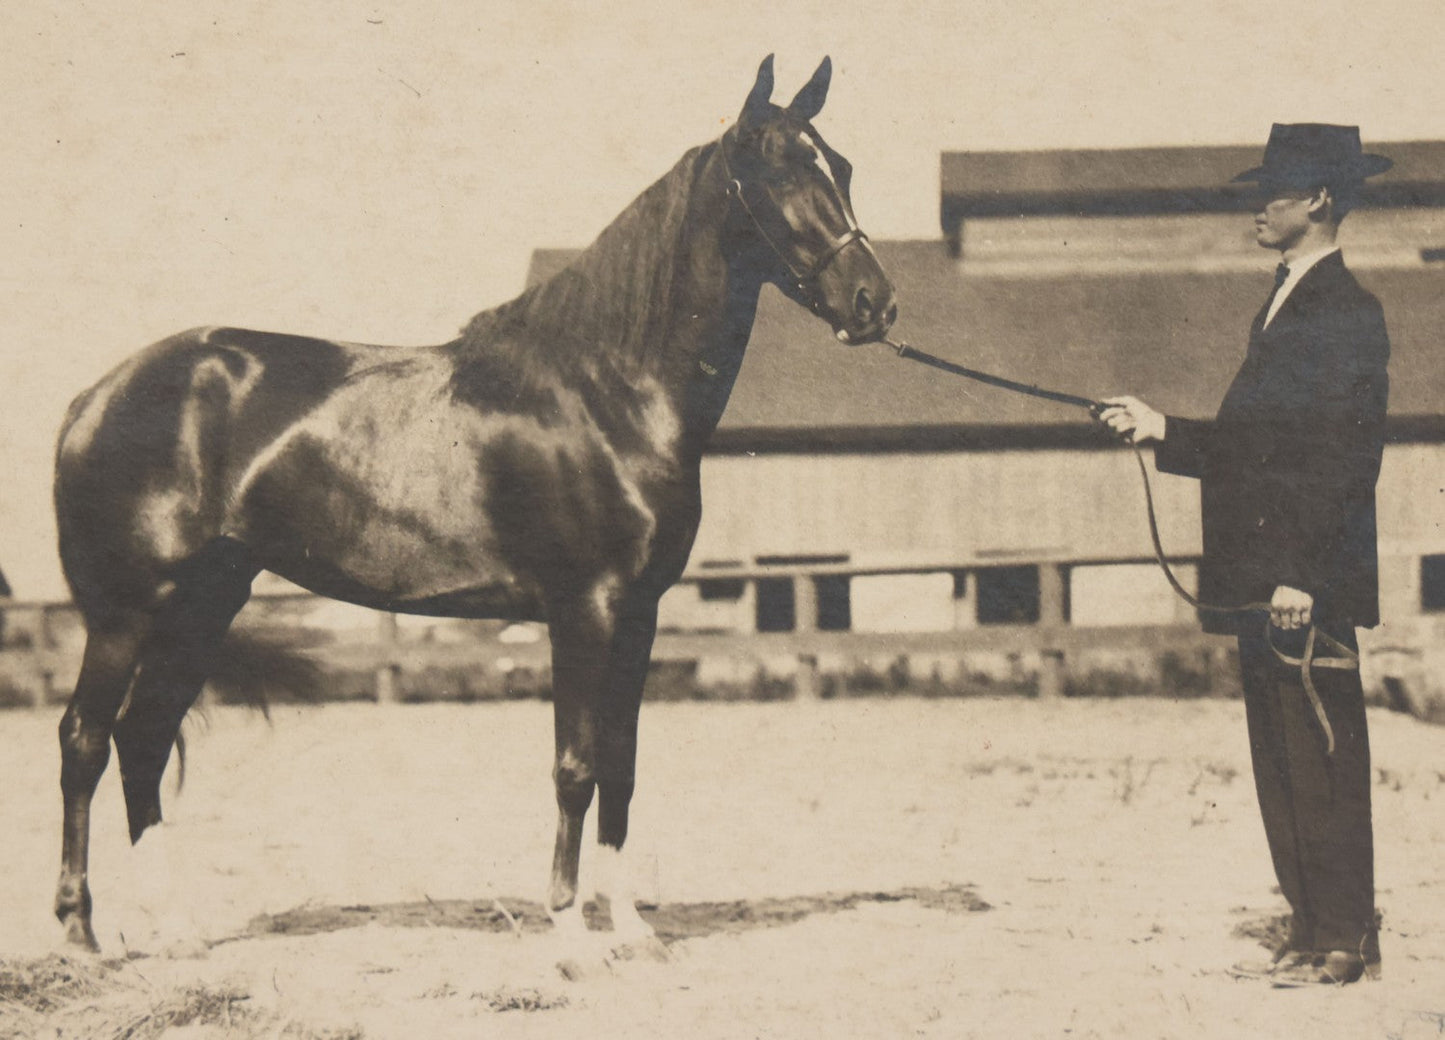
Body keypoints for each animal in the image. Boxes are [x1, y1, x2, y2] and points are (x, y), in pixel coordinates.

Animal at [51, 54, 896, 954]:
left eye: (840, 167)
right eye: (779, 171)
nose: (875, 304)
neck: (606, 390)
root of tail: (94, 396)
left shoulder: (639, 614)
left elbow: (622, 766)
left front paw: (630, 930)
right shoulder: (583, 609)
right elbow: (576, 766)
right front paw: (568, 934)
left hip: (203, 605)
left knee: (141, 739)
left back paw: (172, 932)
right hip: (126, 612)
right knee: (86, 740)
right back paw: (80, 933)